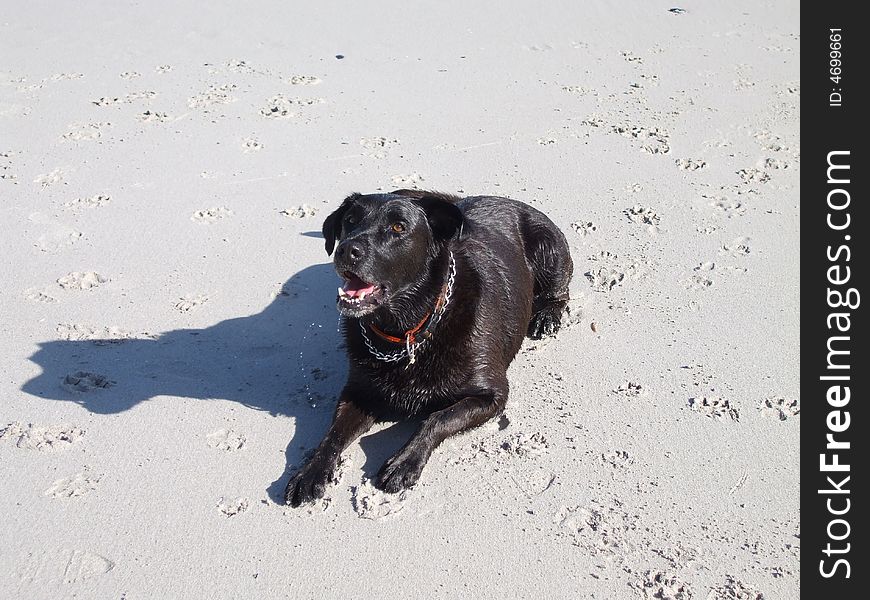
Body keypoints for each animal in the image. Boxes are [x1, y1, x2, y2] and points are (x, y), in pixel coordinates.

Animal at [282, 189, 576, 506]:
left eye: (398, 227)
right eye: (350, 220)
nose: (346, 250)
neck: (406, 331)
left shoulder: (492, 395)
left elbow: (437, 418)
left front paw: (405, 461)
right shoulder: (359, 393)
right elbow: (333, 433)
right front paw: (310, 472)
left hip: (550, 251)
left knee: (560, 291)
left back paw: (547, 316)